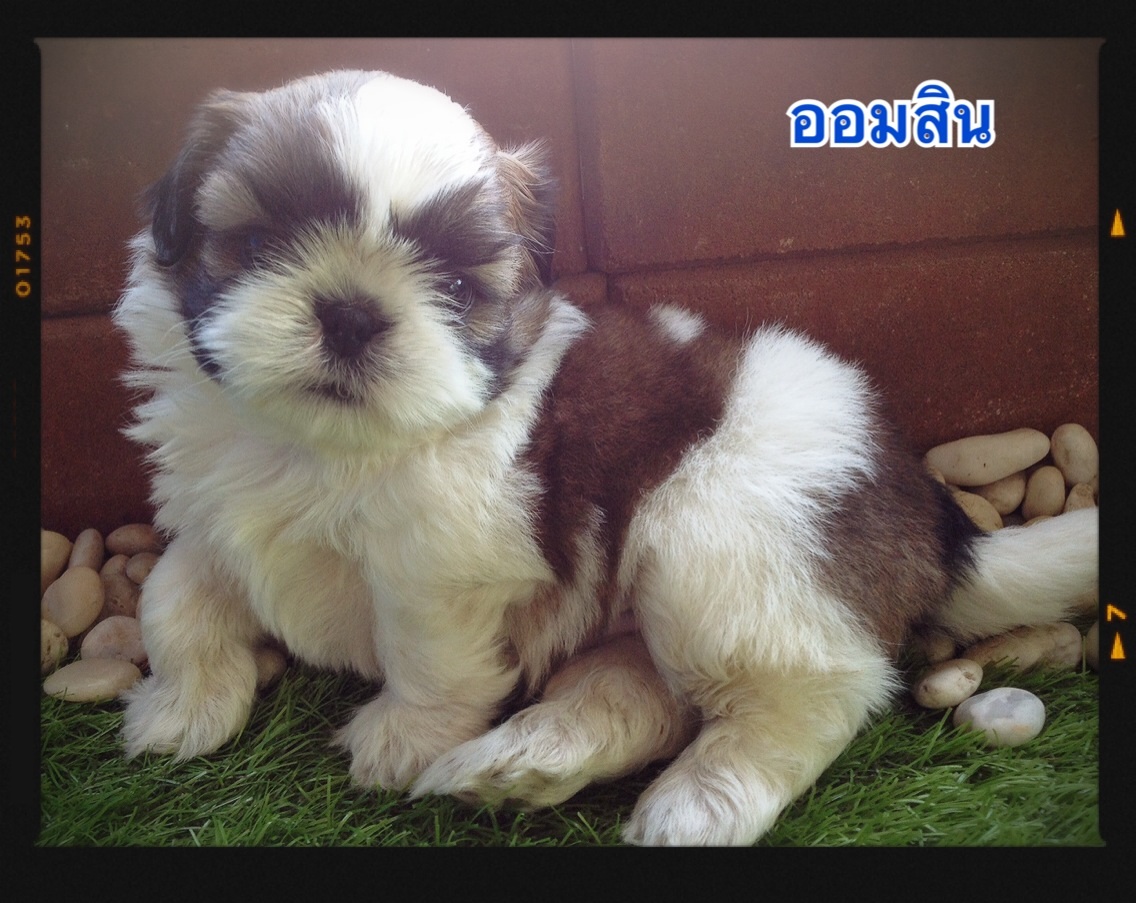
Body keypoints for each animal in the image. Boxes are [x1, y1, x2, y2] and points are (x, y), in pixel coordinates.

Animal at [113, 69, 1098, 845]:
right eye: (258, 243)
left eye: (458, 288)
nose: (351, 311)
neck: (316, 450)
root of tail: (927, 517)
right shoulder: (212, 517)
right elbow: (171, 596)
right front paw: (180, 705)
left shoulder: (445, 572)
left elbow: (427, 658)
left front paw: (398, 739)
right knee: (652, 697)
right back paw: (521, 764)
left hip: (716, 538)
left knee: (812, 690)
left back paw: (700, 800)